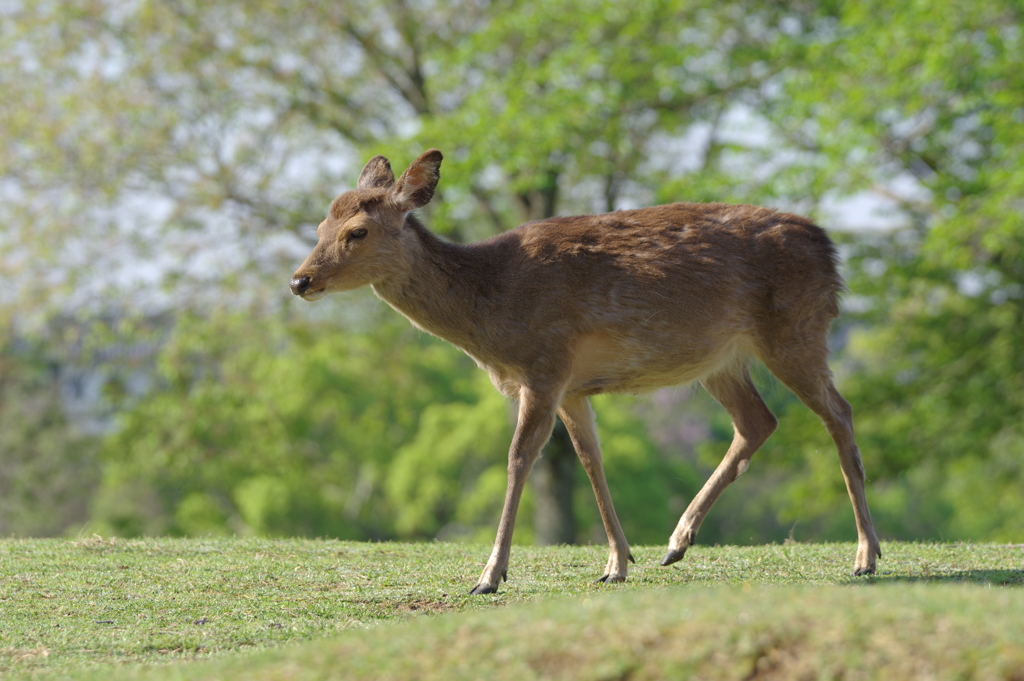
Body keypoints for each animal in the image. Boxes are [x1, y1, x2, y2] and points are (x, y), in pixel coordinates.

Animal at [286, 147, 880, 589]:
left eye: (357, 231)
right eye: (319, 225)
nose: (299, 280)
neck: (493, 308)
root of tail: (831, 249)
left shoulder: (545, 363)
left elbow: (518, 458)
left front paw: (489, 576)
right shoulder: (572, 386)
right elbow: (591, 459)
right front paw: (617, 563)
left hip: (797, 329)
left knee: (840, 413)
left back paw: (866, 556)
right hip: (722, 359)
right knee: (759, 421)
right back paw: (676, 543)